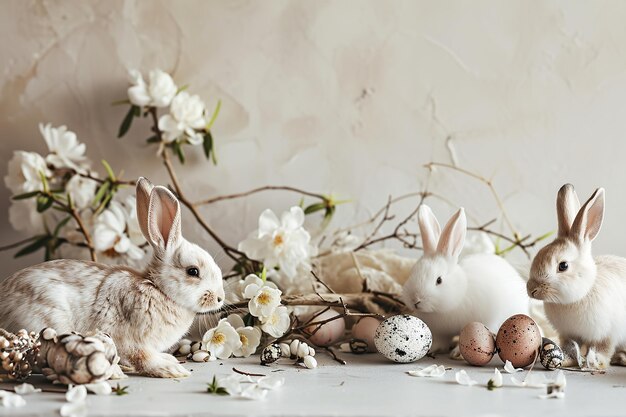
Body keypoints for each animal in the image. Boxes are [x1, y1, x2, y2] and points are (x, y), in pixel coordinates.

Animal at [0, 177, 223, 378]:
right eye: (193, 271)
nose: (220, 298)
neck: (158, 289)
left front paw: (169, 360)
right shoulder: (132, 341)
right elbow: (143, 358)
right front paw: (170, 369)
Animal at [400, 203, 528, 352]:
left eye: (439, 280)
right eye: (412, 271)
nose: (415, 300)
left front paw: (457, 352)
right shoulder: (440, 333)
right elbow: (440, 341)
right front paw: (431, 349)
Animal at [528, 183, 624, 368]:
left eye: (563, 266)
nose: (531, 290)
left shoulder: (608, 333)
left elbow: (604, 348)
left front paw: (597, 362)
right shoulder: (568, 333)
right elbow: (571, 347)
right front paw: (566, 359)